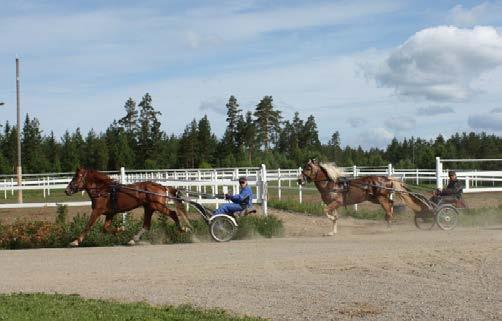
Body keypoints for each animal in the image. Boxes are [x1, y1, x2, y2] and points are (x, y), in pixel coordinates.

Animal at [298, 159, 428, 234]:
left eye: (308, 168)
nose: (299, 180)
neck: (331, 184)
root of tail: (387, 178)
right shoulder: (333, 204)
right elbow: (335, 217)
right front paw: (332, 232)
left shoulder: (336, 202)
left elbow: (326, 212)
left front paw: (332, 220)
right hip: (375, 199)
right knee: (391, 204)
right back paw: (388, 222)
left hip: (380, 198)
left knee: (389, 206)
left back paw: (388, 226)